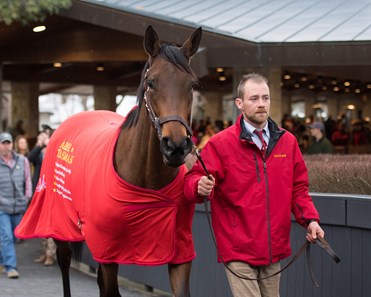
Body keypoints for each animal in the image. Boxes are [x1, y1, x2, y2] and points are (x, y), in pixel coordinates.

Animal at [14, 25, 202, 296]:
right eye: (151, 82)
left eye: (192, 84)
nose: (175, 146)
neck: (145, 179)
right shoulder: (107, 249)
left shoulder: (180, 253)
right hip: (59, 224)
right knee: (64, 261)